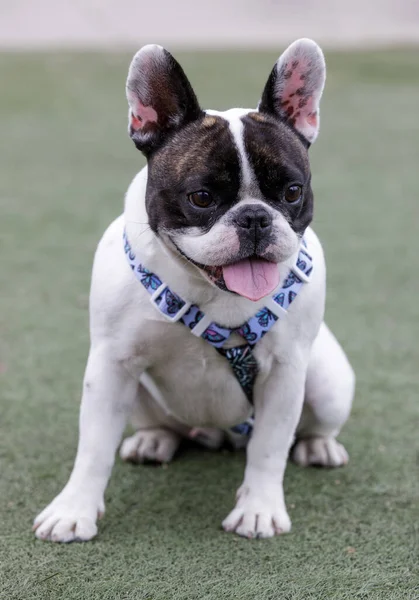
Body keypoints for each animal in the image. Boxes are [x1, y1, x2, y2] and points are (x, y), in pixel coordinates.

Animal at [32, 38, 356, 544]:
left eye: (291, 192)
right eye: (201, 198)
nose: (254, 217)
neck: (210, 292)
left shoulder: (285, 373)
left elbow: (269, 447)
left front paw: (259, 509)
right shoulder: (110, 365)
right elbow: (94, 447)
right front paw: (73, 510)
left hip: (327, 384)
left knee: (305, 428)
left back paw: (319, 447)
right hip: (139, 393)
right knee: (164, 426)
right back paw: (154, 440)